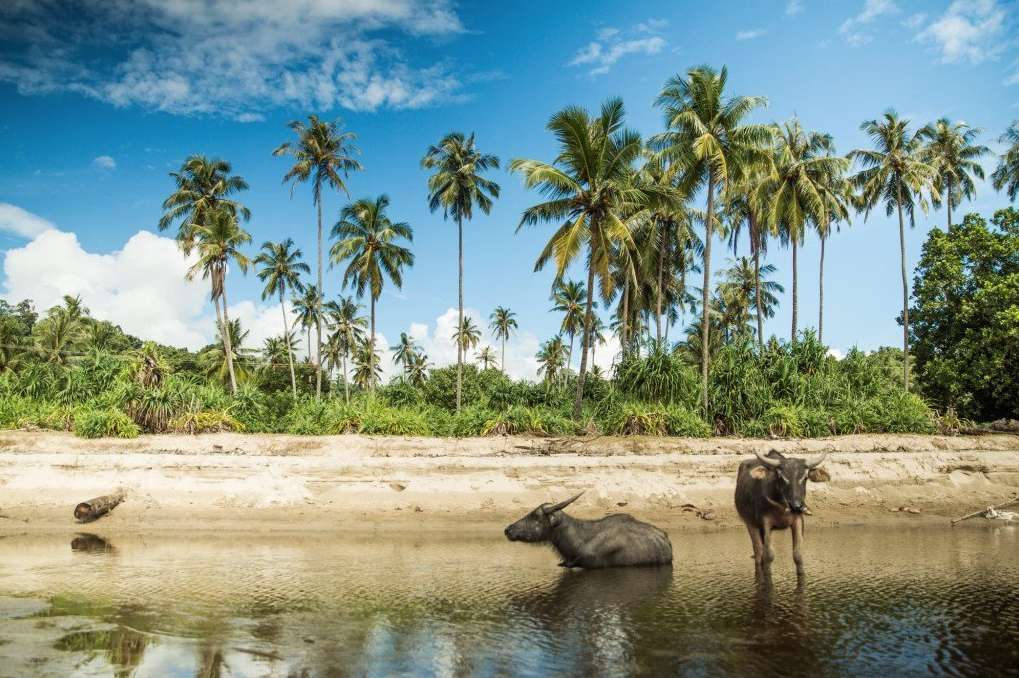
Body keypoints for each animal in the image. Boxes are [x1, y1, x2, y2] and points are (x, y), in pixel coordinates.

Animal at [737, 446, 831, 575]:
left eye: (805, 477)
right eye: (781, 477)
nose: (797, 506)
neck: (782, 506)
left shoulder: (798, 520)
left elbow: (798, 555)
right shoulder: (765, 523)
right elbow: (768, 556)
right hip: (750, 524)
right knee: (758, 553)